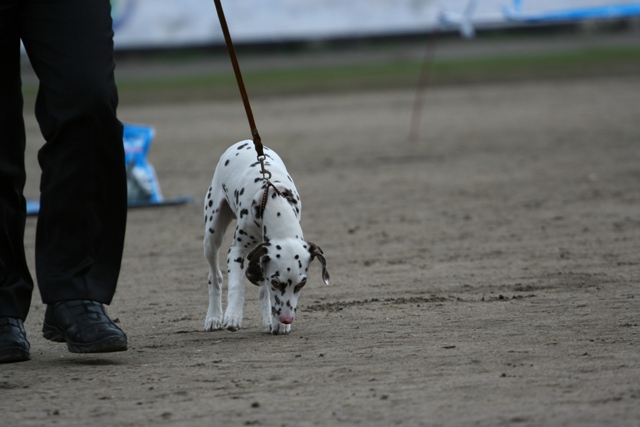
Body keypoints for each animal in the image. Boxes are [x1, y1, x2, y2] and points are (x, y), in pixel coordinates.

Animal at [203, 140, 330, 335]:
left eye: (302, 284)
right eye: (276, 282)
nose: (287, 318)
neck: (273, 201)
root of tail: (244, 141)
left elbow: (266, 293)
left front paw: (277, 323)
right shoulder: (236, 251)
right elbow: (237, 286)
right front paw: (233, 315)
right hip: (212, 235)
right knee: (215, 277)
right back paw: (214, 316)